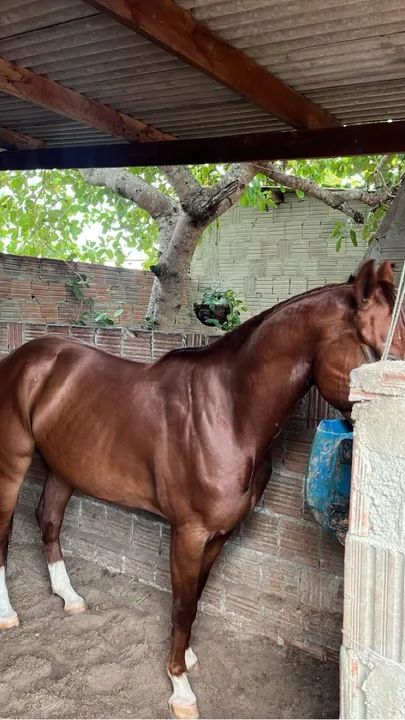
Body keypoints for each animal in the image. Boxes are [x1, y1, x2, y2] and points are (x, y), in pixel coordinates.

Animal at [0, 259, 403, 719]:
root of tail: (23, 357)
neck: (229, 413)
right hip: (12, 463)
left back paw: (69, 597)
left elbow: (196, 597)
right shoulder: (189, 532)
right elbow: (182, 603)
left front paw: (187, 656)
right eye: (386, 351)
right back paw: (8, 613)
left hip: (64, 468)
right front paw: (180, 686)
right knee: (5, 529)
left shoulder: (221, 533)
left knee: (48, 522)